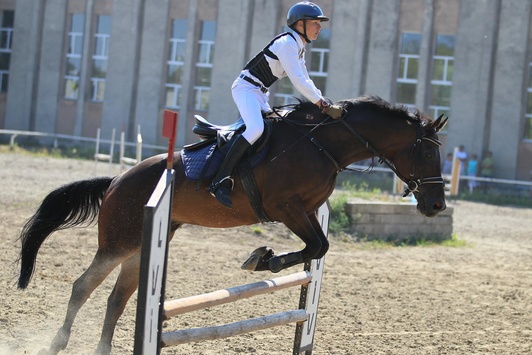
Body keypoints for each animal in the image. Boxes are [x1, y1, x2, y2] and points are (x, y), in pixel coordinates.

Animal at [17, 95, 448, 355]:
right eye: (428, 153)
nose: (437, 205)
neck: (324, 144)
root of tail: (116, 180)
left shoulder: (307, 210)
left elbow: (318, 247)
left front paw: (264, 257)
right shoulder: (285, 207)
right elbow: (316, 247)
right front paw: (264, 259)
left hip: (140, 248)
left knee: (115, 298)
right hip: (119, 242)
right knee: (83, 286)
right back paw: (57, 343)